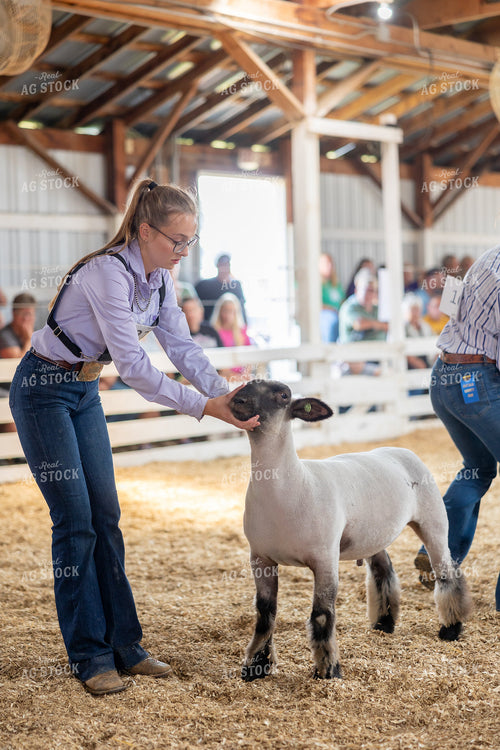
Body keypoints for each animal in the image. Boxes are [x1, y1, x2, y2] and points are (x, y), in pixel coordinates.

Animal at [229, 379, 472, 681]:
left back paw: (451, 628)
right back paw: (384, 623)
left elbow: (322, 613)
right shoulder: (260, 558)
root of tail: (401, 450)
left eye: (283, 394)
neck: (292, 483)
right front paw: (256, 666)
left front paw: (328, 670)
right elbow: (265, 613)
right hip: (372, 534)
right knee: (383, 571)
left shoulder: (324, 558)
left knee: (447, 572)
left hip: (433, 521)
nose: (237, 401)